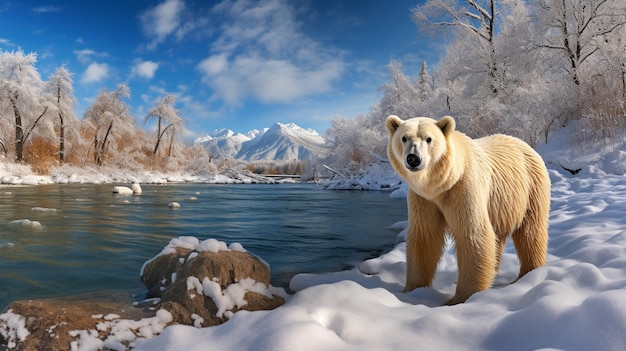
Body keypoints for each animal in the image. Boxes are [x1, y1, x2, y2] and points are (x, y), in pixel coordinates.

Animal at [382, 115, 548, 306]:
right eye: (404, 138)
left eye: (429, 139)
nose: (413, 159)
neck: (443, 183)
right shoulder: (423, 199)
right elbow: (425, 236)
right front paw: (412, 289)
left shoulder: (463, 187)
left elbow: (472, 234)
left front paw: (461, 298)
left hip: (531, 189)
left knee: (530, 232)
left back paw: (529, 274)